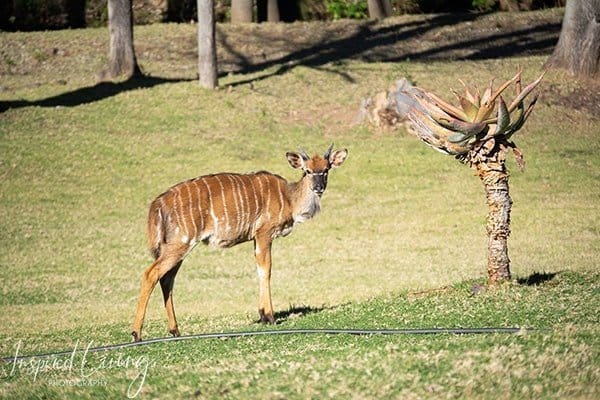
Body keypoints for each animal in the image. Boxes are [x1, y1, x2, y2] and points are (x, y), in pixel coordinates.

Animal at [131, 145, 346, 342]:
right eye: (307, 171)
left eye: (326, 169)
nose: (318, 187)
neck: (289, 198)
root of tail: (157, 204)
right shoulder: (264, 233)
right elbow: (266, 269)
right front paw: (270, 317)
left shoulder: (255, 238)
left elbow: (259, 270)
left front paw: (263, 315)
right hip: (181, 243)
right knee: (151, 274)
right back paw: (137, 334)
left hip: (177, 247)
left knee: (167, 279)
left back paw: (175, 331)